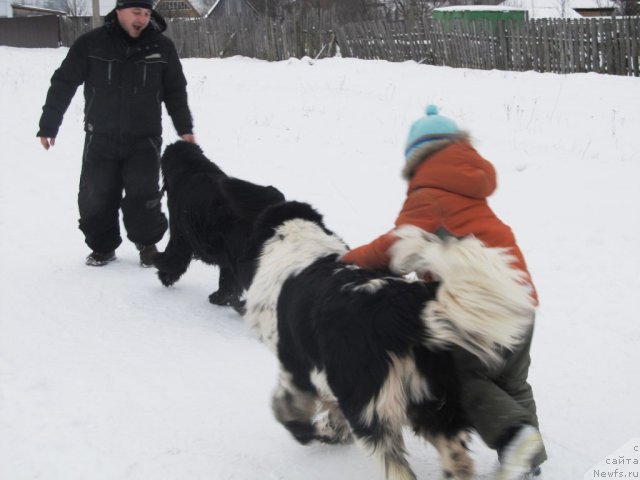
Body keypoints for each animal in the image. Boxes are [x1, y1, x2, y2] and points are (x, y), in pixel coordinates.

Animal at [151, 141, 284, 310]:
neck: (193, 168)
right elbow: (227, 281)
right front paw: (221, 298)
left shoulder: (179, 233)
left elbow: (174, 256)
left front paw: (162, 270)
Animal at [235, 200, 536, 480]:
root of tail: (400, 309)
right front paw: (329, 431)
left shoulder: (296, 365)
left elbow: (285, 405)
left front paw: (309, 431)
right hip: (434, 402)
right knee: (458, 461)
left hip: (374, 412)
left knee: (398, 468)